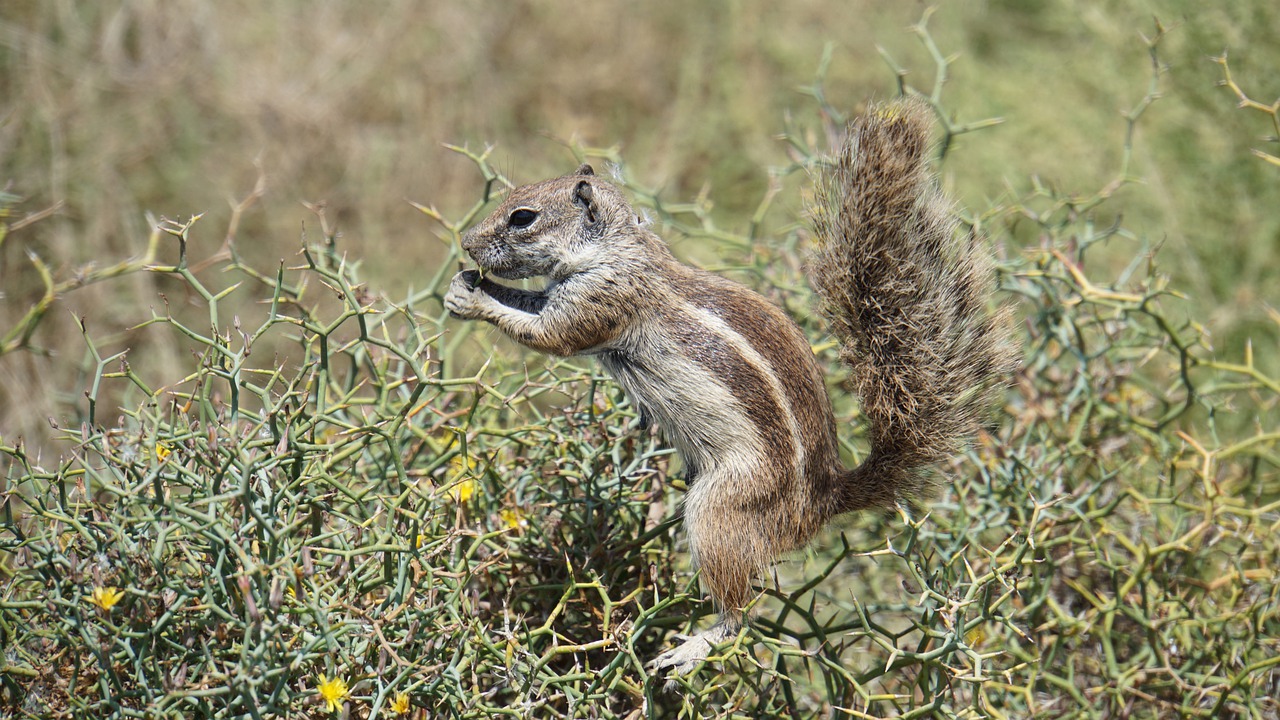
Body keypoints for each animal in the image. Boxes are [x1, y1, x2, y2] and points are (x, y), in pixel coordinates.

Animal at [445, 99, 1013, 671]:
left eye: (523, 217)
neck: (618, 249)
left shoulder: (600, 302)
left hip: (721, 511)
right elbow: (530, 304)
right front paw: (468, 283)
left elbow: (547, 334)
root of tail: (822, 501)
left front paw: (474, 298)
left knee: (741, 615)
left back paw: (693, 647)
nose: (466, 242)